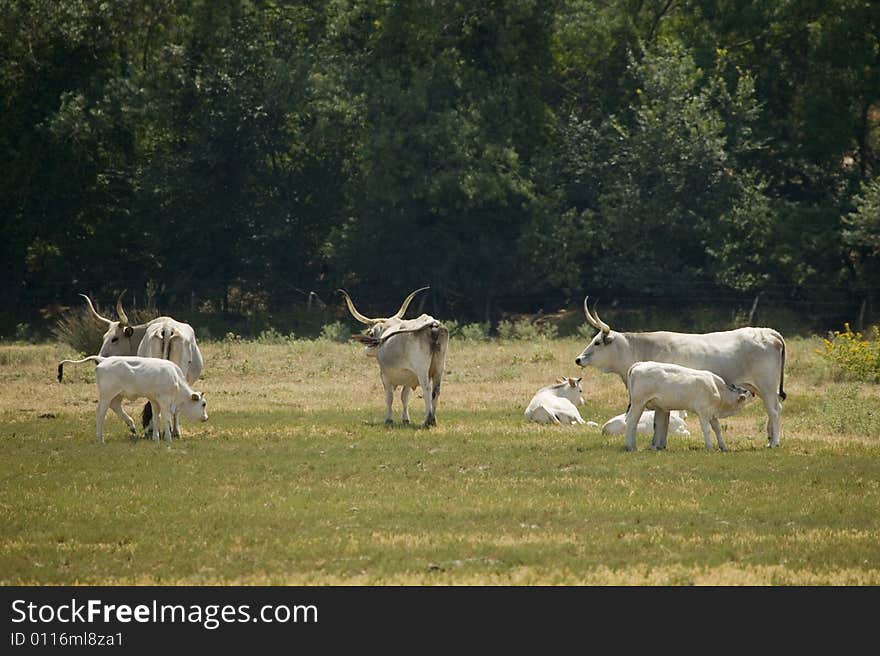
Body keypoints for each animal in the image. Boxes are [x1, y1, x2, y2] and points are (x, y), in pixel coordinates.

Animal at [57, 356, 208, 444]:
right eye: (203, 404)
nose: (206, 418)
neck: (175, 379)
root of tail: (103, 360)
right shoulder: (165, 402)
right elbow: (166, 418)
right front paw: (168, 439)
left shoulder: (154, 401)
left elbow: (156, 417)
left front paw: (156, 438)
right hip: (106, 395)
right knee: (101, 412)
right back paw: (100, 438)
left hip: (117, 395)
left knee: (115, 406)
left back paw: (131, 425)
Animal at [336, 284, 446, 428]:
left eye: (371, 334)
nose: (366, 350)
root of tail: (433, 324)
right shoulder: (409, 375)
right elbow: (404, 397)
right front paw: (405, 419)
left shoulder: (385, 376)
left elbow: (389, 397)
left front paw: (388, 419)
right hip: (439, 367)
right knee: (436, 390)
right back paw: (433, 420)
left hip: (422, 370)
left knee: (426, 389)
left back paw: (427, 421)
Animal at [624, 362, 752, 454]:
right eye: (747, 393)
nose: (752, 393)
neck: (718, 390)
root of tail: (640, 364)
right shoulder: (703, 413)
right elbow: (707, 429)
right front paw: (709, 447)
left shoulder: (712, 414)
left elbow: (718, 429)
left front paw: (723, 447)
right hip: (638, 403)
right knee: (631, 421)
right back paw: (631, 447)